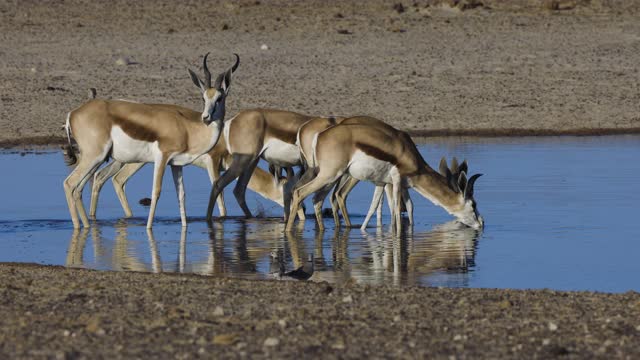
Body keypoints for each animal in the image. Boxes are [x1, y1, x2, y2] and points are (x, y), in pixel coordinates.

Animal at [63, 53, 239, 228]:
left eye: (219, 98)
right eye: (203, 98)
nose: (206, 118)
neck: (187, 130)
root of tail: (73, 113)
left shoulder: (176, 164)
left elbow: (181, 195)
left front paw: (184, 227)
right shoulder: (162, 157)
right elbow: (156, 191)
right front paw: (149, 228)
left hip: (96, 160)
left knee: (79, 188)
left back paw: (87, 226)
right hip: (96, 157)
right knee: (70, 184)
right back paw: (78, 227)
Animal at [288, 122, 482, 232]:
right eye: (473, 204)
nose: (481, 224)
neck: (407, 153)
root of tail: (320, 135)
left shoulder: (383, 183)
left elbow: (377, 207)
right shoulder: (396, 181)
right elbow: (396, 210)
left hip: (330, 178)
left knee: (317, 199)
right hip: (329, 176)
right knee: (299, 192)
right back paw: (289, 232)